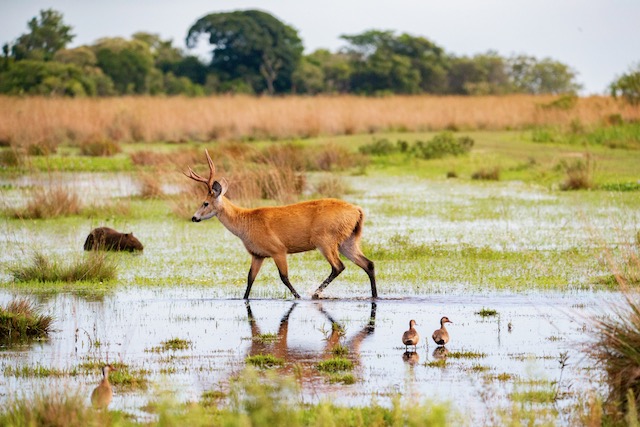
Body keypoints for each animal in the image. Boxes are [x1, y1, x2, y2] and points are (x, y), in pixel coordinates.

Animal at [182, 150, 378, 300]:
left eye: (205, 203)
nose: (194, 217)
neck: (245, 222)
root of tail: (357, 210)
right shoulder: (257, 255)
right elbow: (250, 279)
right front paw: (244, 298)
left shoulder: (278, 250)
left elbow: (284, 277)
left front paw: (298, 297)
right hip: (348, 241)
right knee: (368, 264)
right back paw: (374, 295)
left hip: (325, 241)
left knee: (338, 266)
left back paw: (315, 294)